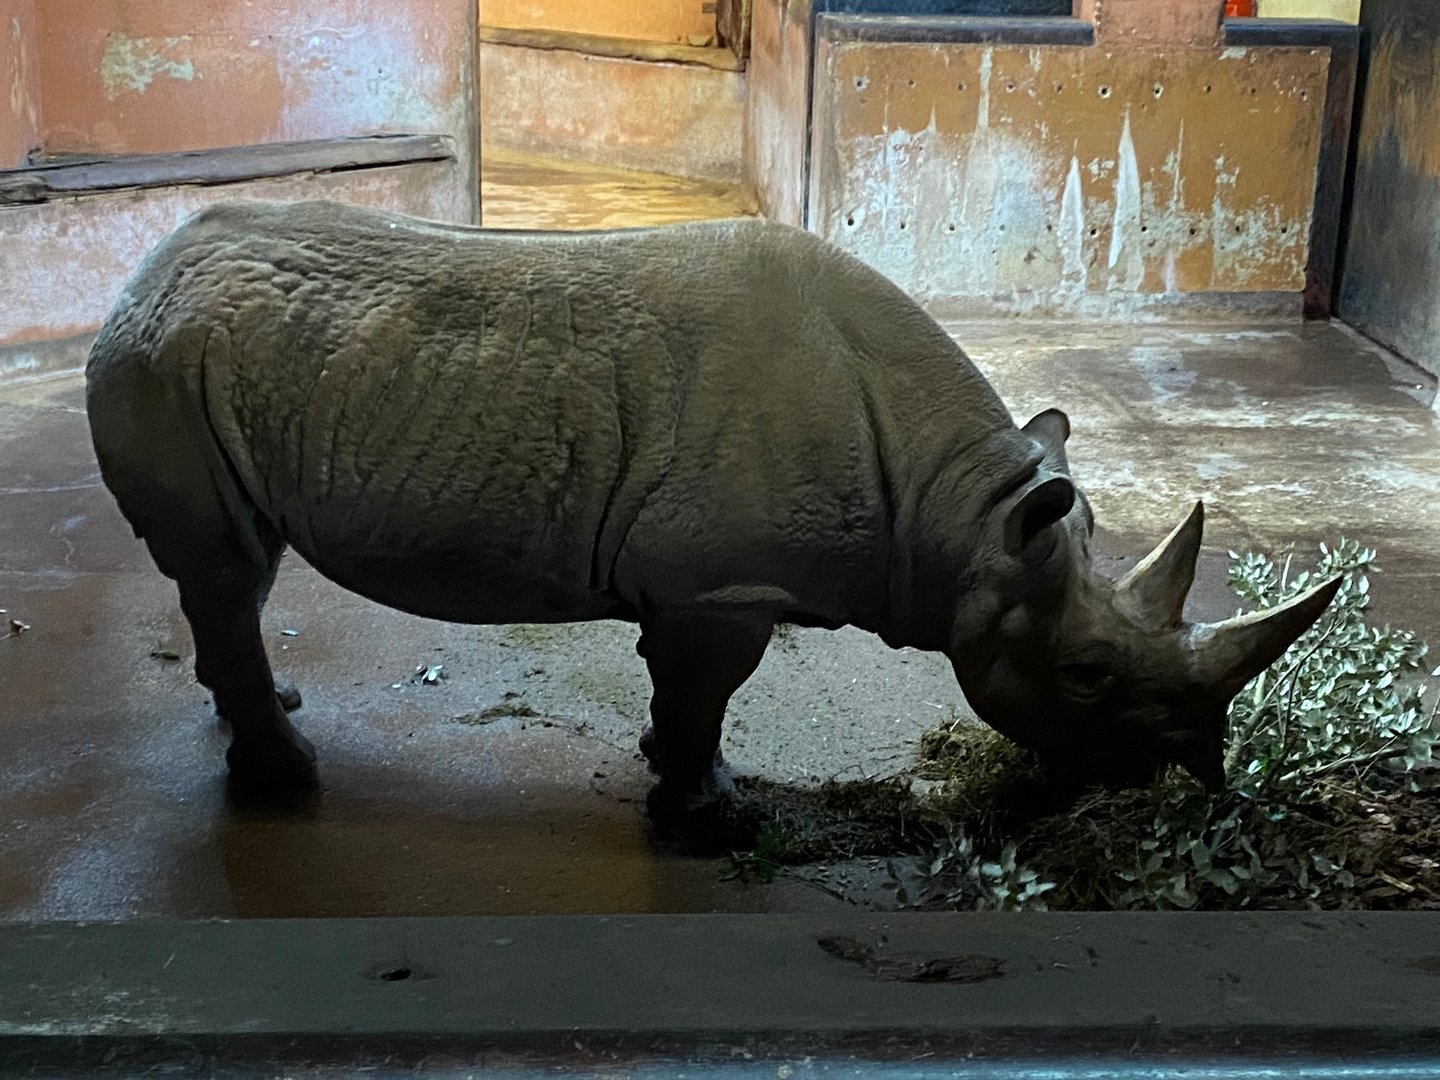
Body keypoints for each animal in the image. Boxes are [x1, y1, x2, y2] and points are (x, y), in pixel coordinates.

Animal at [85, 201, 1339, 820]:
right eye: (1086, 677)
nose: (1193, 774)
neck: (967, 510)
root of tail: (140, 271)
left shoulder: (698, 586)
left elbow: (676, 692)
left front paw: (663, 768)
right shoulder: (724, 587)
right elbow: (705, 698)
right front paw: (710, 813)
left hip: (197, 364)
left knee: (238, 573)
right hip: (161, 364)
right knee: (224, 568)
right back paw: (288, 782)